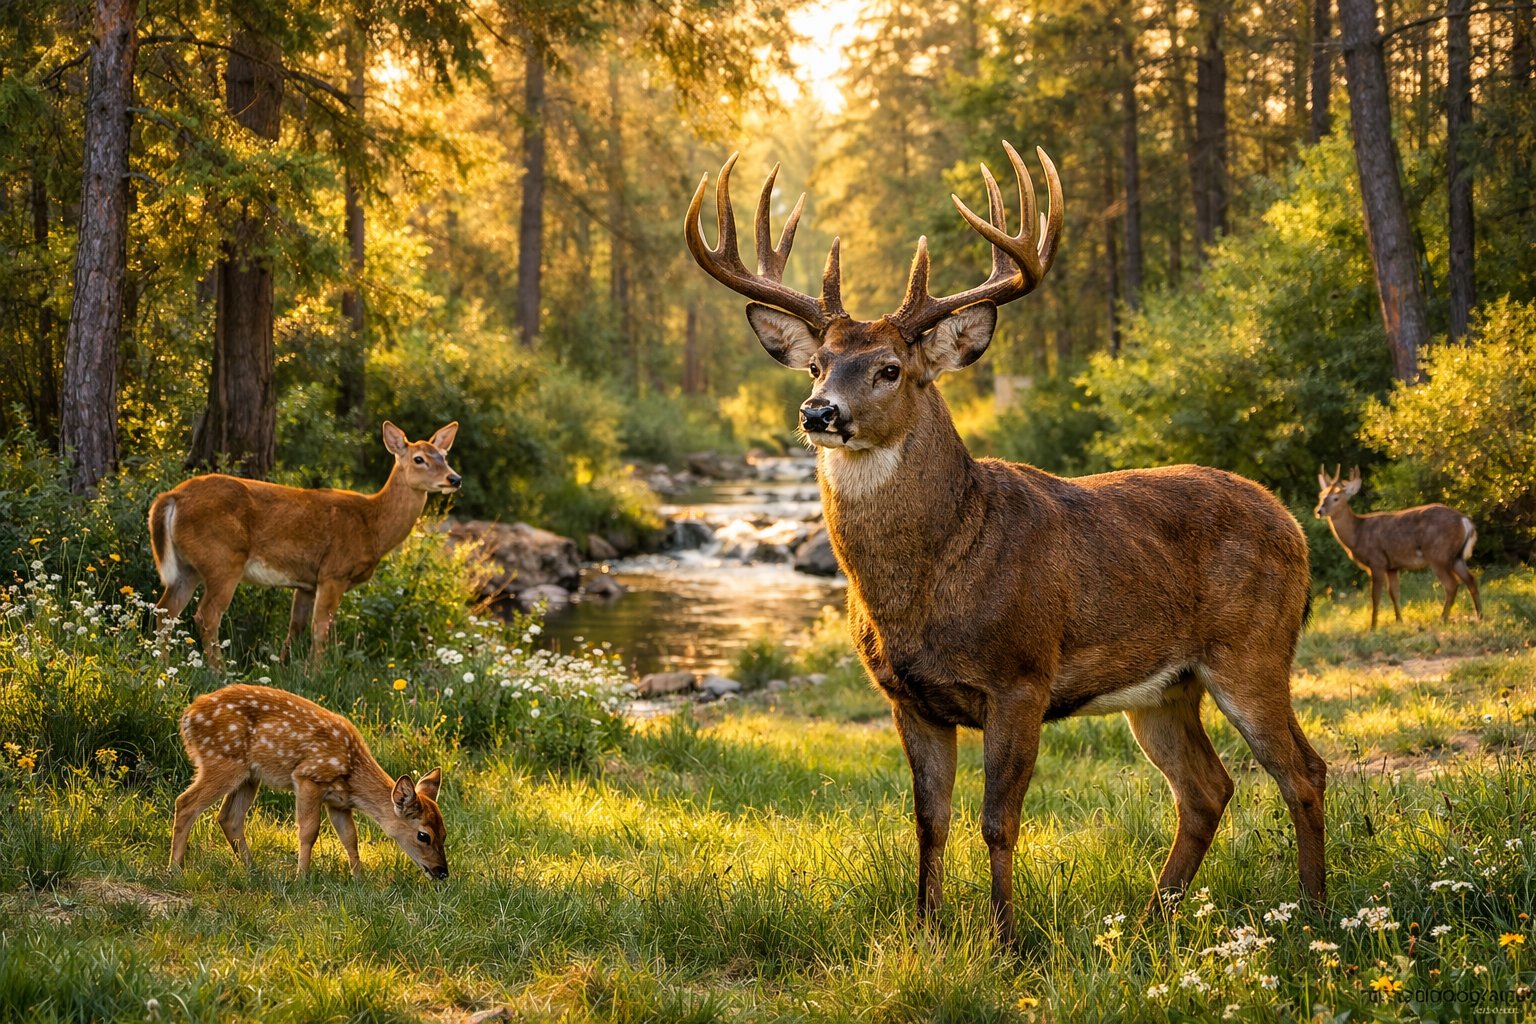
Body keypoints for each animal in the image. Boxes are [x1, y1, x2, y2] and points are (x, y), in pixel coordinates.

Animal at [148, 421, 461, 668]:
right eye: (419, 459)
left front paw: (284, 668)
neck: (372, 526)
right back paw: (219, 672)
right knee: (206, 615)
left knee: (165, 610)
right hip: (223, 558)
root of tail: (173, 497)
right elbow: (321, 629)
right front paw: (315, 674)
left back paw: (163, 666)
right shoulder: (334, 572)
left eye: (445, 456)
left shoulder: (306, 583)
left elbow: (295, 628)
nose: (455, 478)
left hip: (189, 566)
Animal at [170, 684, 449, 879]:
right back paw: (175, 869)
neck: (352, 771)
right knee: (186, 802)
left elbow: (350, 837)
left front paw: (359, 878)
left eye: (445, 833)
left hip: (249, 776)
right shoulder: (308, 777)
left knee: (230, 818)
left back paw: (253, 870)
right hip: (222, 760)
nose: (442, 871)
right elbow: (309, 831)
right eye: (423, 836)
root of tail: (186, 717)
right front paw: (302, 877)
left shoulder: (339, 803)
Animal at [684, 143, 1326, 944]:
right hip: (1164, 688)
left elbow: (998, 820)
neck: (930, 582)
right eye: (816, 364)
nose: (818, 412)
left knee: (1302, 772)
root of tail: (1294, 524)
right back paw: (1151, 920)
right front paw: (926, 930)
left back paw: (1315, 911)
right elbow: (929, 820)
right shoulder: (908, 697)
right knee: (1208, 787)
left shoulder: (1021, 675)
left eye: (891, 369)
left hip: (1254, 649)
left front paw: (1004, 940)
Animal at [1314, 465, 1481, 629]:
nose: (1319, 511)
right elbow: (1394, 593)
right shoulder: (1392, 567)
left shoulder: (1377, 561)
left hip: (1438, 554)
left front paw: (1373, 626)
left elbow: (1375, 595)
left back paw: (1443, 619)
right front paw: (1399, 621)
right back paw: (1479, 616)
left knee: (1452, 584)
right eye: (1321, 496)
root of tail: (1465, 521)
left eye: (1336, 498)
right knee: (1471, 580)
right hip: (1456, 557)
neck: (1357, 534)